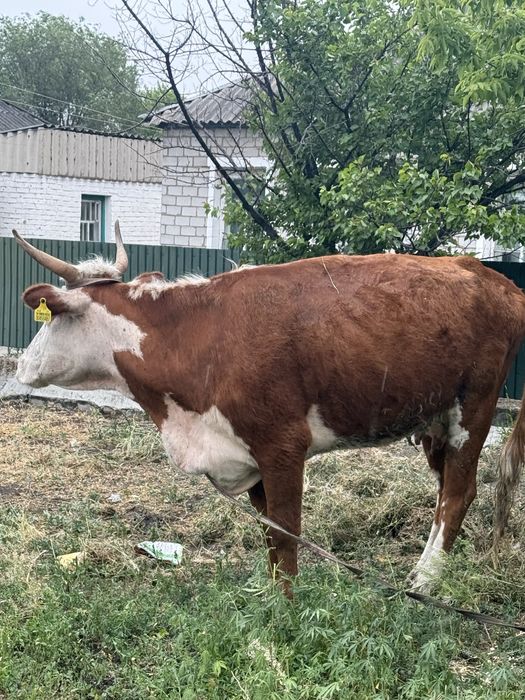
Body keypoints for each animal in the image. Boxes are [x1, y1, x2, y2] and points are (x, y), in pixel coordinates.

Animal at [13, 224, 525, 596]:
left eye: (51, 318)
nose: (20, 366)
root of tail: (492, 277)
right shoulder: (247, 455)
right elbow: (270, 539)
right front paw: (270, 596)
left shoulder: (282, 446)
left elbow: (284, 534)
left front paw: (287, 611)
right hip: (434, 418)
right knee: (445, 490)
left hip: (474, 408)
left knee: (459, 492)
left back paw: (425, 581)